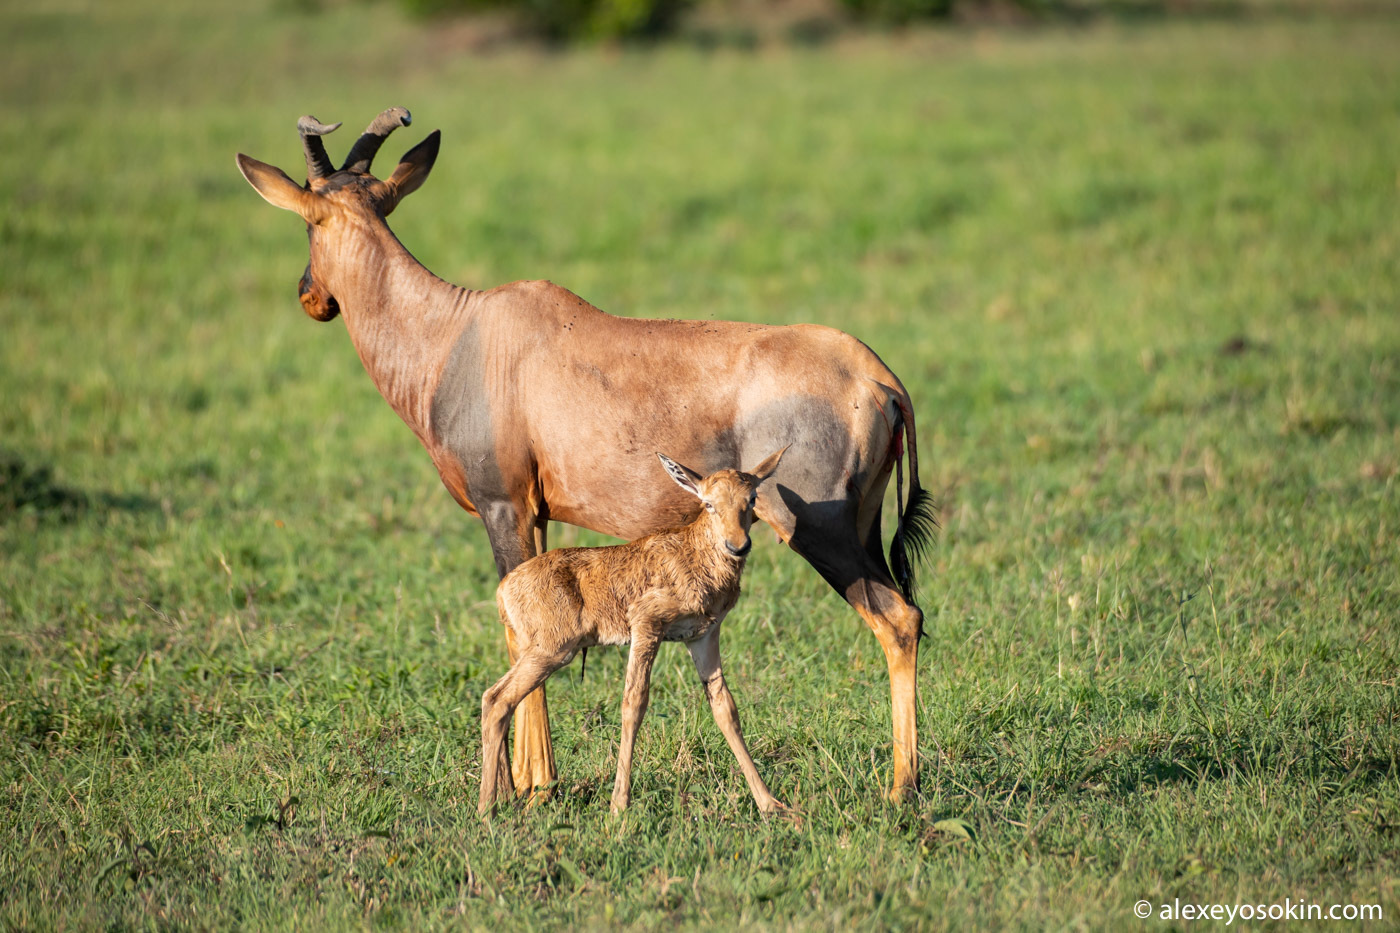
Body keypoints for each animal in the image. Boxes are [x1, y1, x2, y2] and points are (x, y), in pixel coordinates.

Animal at [481, 448, 789, 812]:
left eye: (752, 498)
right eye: (708, 503)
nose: (737, 546)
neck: (693, 551)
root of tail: (503, 589)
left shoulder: (703, 636)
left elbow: (724, 708)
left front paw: (771, 804)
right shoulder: (646, 626)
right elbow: (634, 704)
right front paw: (618, 806)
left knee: (493, 699)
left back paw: (499, 799)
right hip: (551, 652)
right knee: (498, 700)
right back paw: (486, 809)